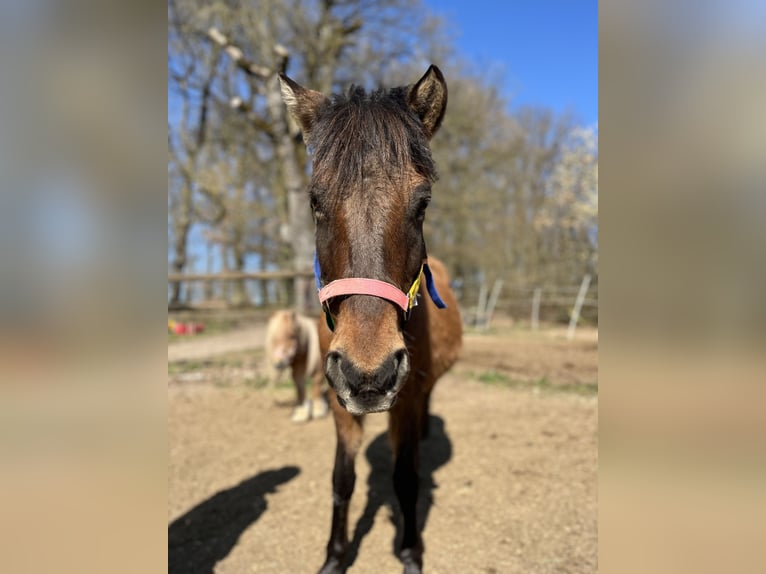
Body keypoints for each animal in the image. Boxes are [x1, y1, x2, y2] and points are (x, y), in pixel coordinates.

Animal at [280, 65, 462, 574]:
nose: (369, 373)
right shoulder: (339, 399)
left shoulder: (406, 398)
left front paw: (411, 552)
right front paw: (335, 555)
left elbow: (406, 478)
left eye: (422, 203)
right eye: (315, 201)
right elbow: (342, 480)